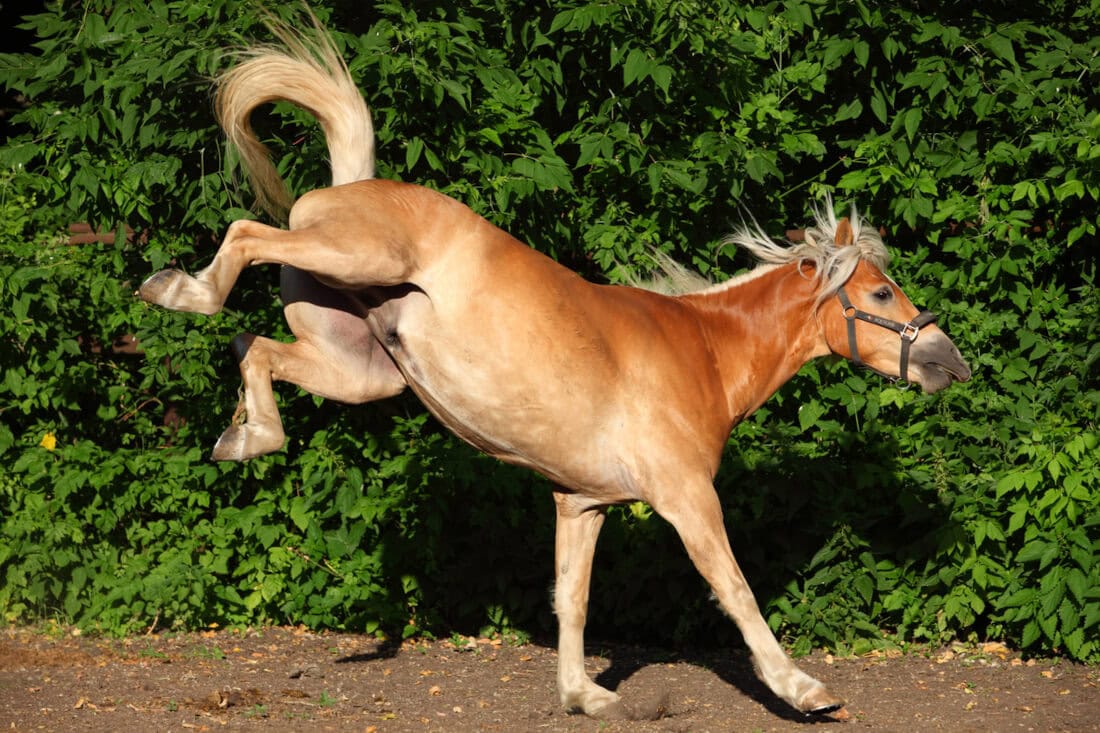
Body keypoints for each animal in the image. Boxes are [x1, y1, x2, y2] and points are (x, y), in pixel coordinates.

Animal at [138, 17, 970, 720]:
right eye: (880, 292)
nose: (949, 361)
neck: (703, 351)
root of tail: (354, 186)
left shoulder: (582, 503)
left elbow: (572, 598)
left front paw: (584, 694)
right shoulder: (686, 498)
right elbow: (735, 589)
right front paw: (803, 689)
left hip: (361, 369)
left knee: (256, 350)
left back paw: (244, 435)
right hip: (349, 258)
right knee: (245, 233)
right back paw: (179, 292)